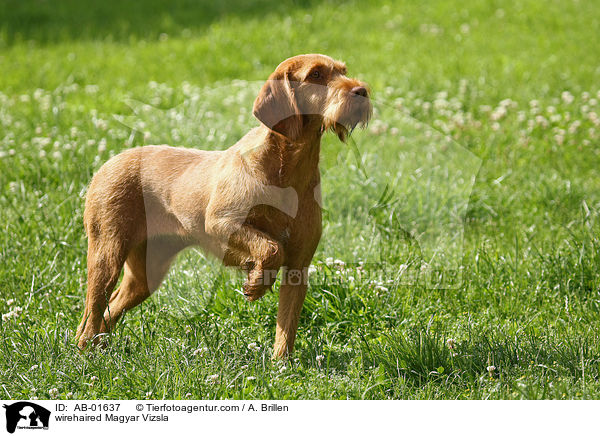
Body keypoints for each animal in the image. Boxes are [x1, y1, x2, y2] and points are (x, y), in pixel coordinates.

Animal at [76, 53, 370, 358]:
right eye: (315, 75)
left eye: (343, 71)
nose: (362, 92)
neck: (287, 173)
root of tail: (108, 162)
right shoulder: (220, 223)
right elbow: (272, 248)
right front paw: (256, 284)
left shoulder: (298, 267)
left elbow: (286, 328)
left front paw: (281, 365)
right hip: (107, 255)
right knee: (91, 313)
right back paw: (87, 354)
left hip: (146, 275)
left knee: (108, 311)